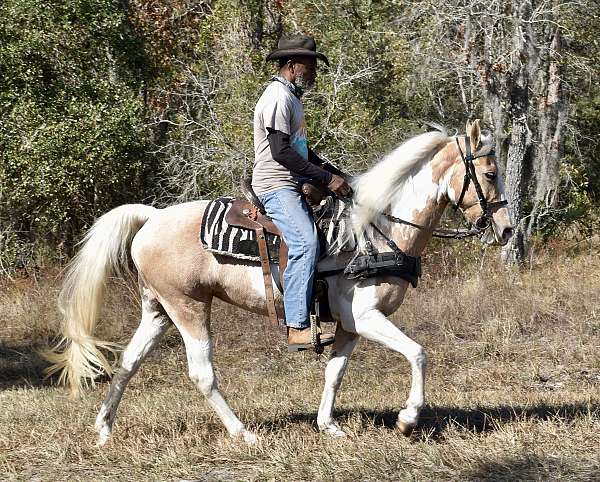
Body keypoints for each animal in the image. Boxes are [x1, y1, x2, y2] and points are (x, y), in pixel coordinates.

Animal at [45, 119, 510, 444]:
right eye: (489, 174)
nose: (506, 229)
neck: (375, 230)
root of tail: (152, 217)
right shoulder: (366, 317)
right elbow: (418, 353)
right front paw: (408, 419)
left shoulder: (350, 325)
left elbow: (335, 372)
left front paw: (327, 425)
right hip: (189, 308)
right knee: (202, 373)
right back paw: (243, 433)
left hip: (158, 310)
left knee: (128, 362)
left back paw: (104, 429)